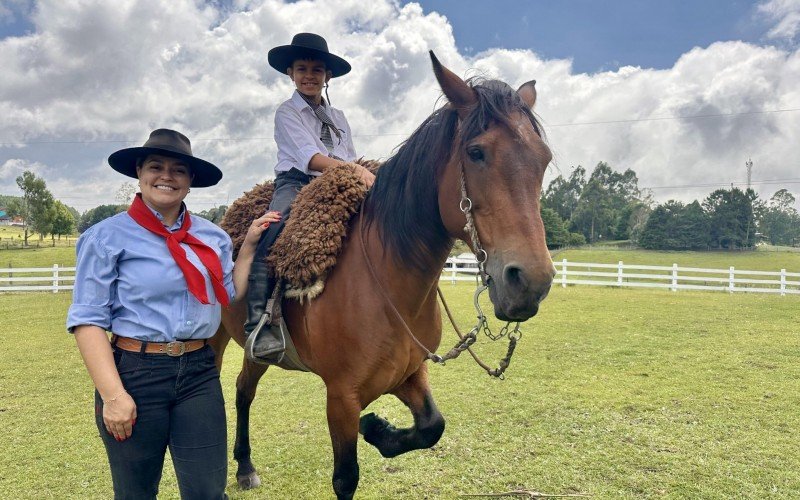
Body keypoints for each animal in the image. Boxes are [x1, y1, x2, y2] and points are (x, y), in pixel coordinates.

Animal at [208, 52, 556, 498]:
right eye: (477, 152)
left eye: (542, 159)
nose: (530, 282)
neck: (387, 285)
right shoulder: (340, 397)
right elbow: (346, 478)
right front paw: (374, 429)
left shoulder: (410, 373)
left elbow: (432, 426)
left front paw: (378, 428)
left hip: (255, 352)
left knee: (243, 390)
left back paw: (245, 466)